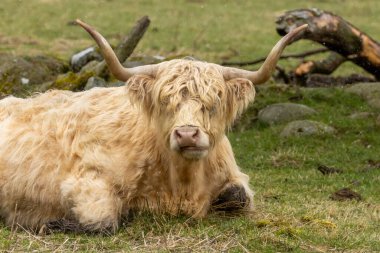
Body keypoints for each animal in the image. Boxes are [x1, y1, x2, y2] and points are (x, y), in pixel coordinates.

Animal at [0, 20, 306, 234]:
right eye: (164, 101)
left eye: (214, 101)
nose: (187, 134)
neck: (182, 183)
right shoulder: (86, 181)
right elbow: (103, 221)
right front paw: (47, 224)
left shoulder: (233, 179)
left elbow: (238, 198)